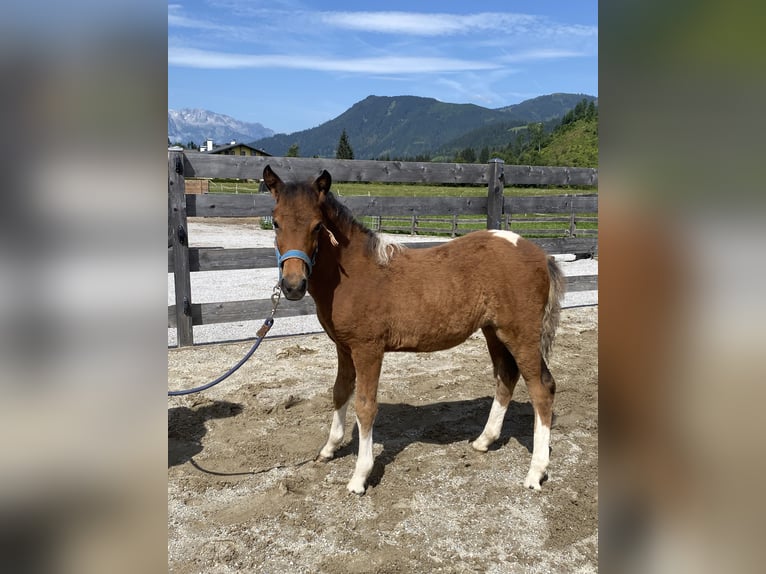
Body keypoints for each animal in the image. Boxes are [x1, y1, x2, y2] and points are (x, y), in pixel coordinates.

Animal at [268, 165, 568, 496]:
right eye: (275, 222)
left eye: (318, 225)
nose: (293, 286)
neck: (356, 274)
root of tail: (541, 254)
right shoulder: (344, 347)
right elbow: (340, 392)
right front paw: (329, 448)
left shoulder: (368, 349)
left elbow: (365, 406)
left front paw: (360, 476)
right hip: (494, 332)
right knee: (506, 376)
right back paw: (483, 441)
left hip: (521, 334)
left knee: (542, 389)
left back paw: (535, 473)